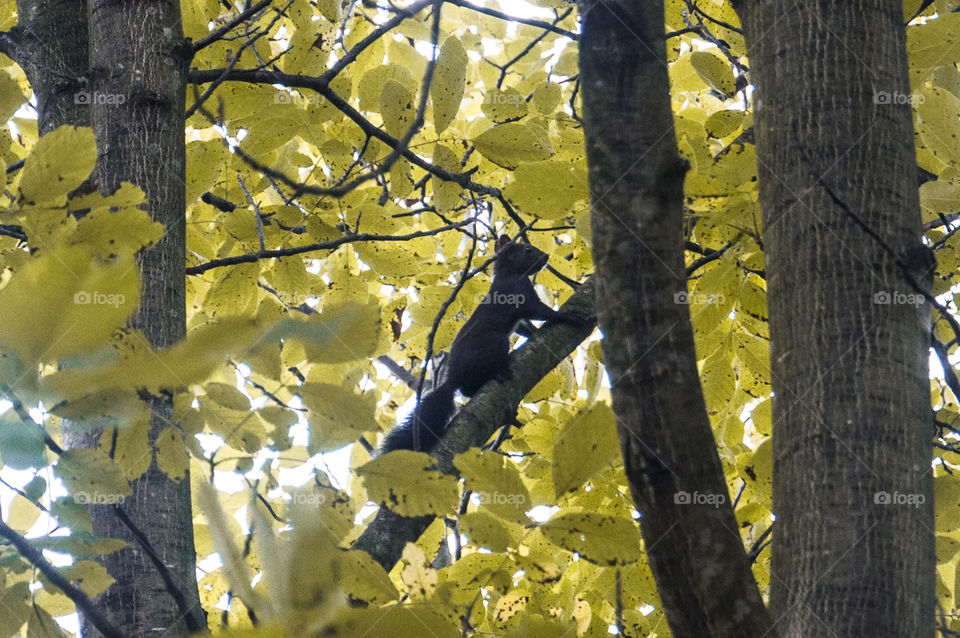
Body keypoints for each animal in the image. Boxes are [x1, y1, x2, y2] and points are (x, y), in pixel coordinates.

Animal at [380, 236, 584, 454]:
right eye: (528, 250)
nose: (545, 256)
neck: (509, 274)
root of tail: (453, 376)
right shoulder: (518, 294)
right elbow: (541, 311)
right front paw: (570, 317)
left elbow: (524, 326)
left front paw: (534, 332)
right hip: (496, 344)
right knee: (469, 387)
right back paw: (500, 370)